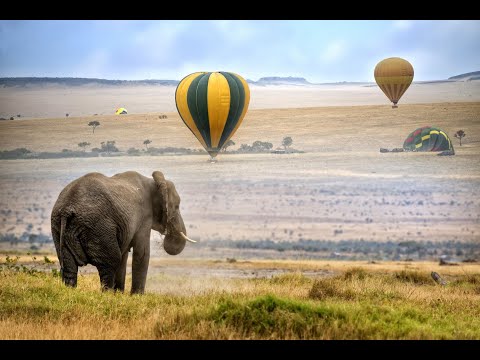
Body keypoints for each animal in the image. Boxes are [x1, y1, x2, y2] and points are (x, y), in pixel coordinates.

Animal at [51, 171, 197, 292]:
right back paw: (107, 295)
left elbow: (125, 254)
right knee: (111, 262)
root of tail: (67, 209)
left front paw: (120, 294)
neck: (152, 181)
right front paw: (136, 297)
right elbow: (142, 253)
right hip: (98, 227)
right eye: (176, 206)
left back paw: (71, 292)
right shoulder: (144, 217)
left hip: (59, 227)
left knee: (69, 266)